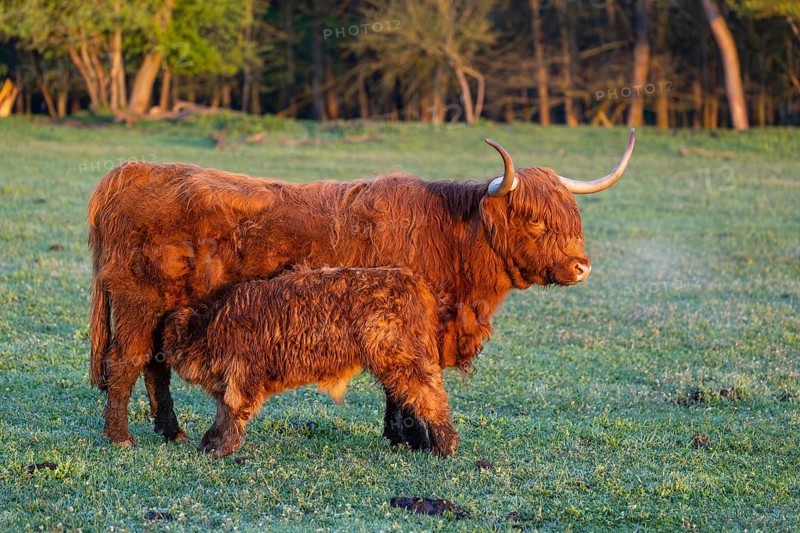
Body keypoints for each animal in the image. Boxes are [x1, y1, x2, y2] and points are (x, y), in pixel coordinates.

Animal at [157, 266, 458, 457]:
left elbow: (232, 410)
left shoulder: (241, 376)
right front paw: (209, 442)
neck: (209, 331)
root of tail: (414, 281)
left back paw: (445, 447)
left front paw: (222, 449)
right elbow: (222, 412)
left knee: (432, 398)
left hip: (405, 363)